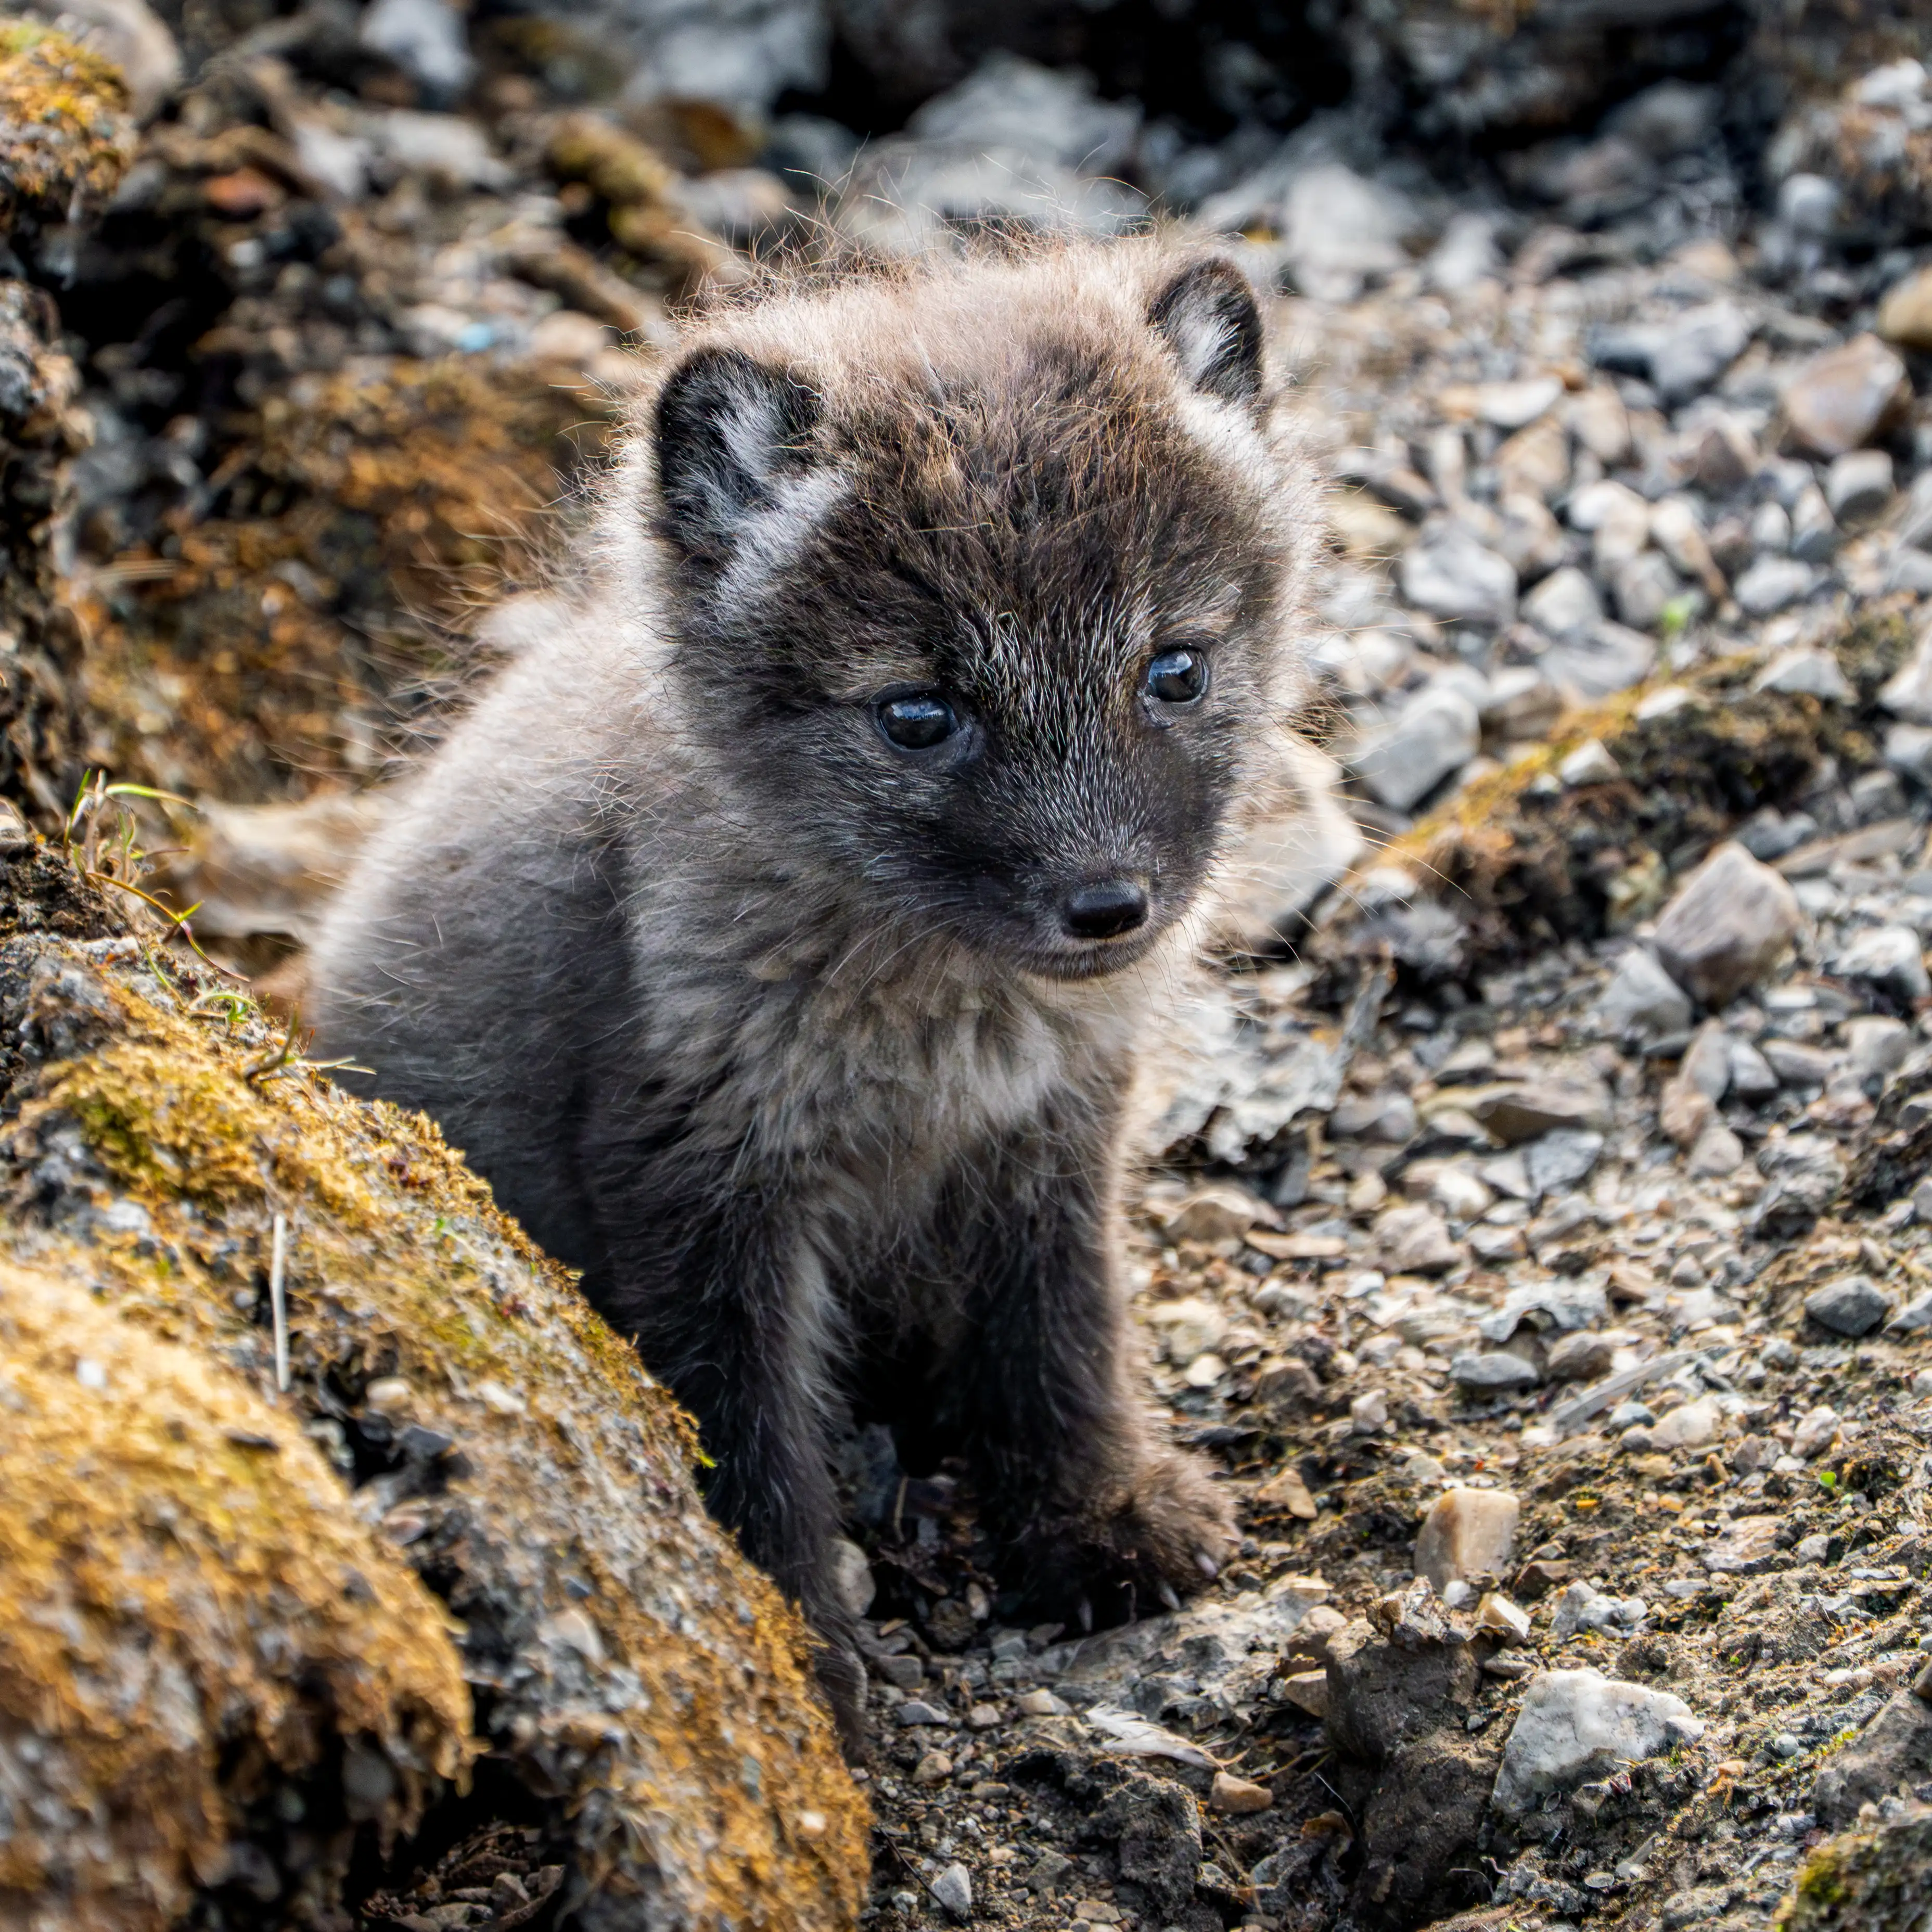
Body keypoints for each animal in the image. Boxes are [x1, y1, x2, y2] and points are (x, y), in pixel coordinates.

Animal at [307, 239, 1320, 1744]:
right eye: (920, 713)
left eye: (1174, 668)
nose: (1110, 906)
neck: (949, 1028)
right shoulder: (692, 1173)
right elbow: (746, 1435)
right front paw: (792, 1654)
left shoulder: (1053, 1135)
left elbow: (1061, 1337)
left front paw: (1100, 1516)